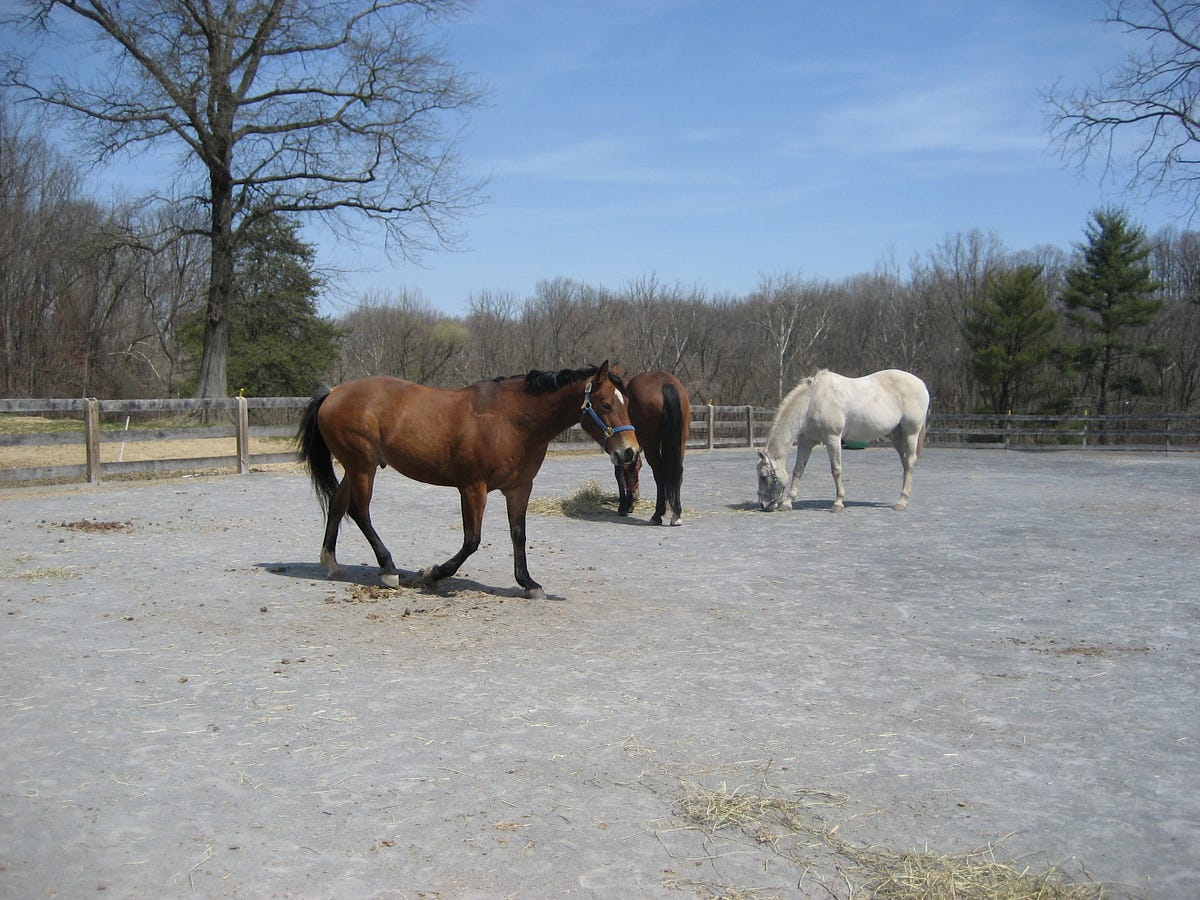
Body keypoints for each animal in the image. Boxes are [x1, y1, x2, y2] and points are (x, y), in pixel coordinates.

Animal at [296, 362, 639, 599]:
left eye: (627, 403)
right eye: (606, 404)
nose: (630, 451)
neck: (512, 420)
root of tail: (334, 393)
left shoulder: (519, 488)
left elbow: (518, 535)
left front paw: (528, 583)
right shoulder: (473, 488)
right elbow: (472, 540)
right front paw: (433, 573)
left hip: (354, 467)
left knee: (337, 505)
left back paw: (332, 564)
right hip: (363, 466)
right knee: (359, 512)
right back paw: (388, 569)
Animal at [613, 371, 692, 525]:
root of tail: (665, 383)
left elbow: (621, 473)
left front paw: (623, 506)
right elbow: (633, 470)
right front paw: (629, 504)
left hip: (651, 444)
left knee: (660, 473)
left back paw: (657, 515)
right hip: (679, 442)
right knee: (677, 472)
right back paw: (676, 514)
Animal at [755, 368, 929, 512]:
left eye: (763, 476)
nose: (764, 505)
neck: (812, 401)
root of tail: (921, 384)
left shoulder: (833, 438)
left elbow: (836, 470)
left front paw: (838, 503)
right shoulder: (806, 441)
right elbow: (798, 470)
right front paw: (787, 503)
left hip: (911, 433)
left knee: (910, 462)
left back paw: (901, 502)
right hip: (897, 436)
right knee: (906, 464)